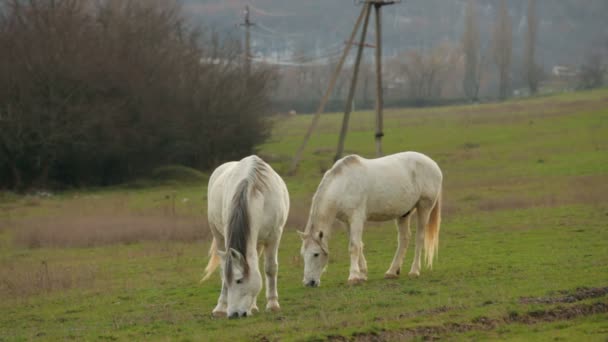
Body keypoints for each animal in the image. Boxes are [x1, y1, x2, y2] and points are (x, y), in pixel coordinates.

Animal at [201, 155, 288, 318]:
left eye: (239, 280)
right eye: (230, 281)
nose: (234, 314)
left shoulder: (274, 236)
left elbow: (270, 268)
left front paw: (273, 304)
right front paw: (221, 307)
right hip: (218, 235)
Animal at [300, 152, 442, 286]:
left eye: (316, 254)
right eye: (303, 254)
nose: (309, 283)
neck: (344, 184)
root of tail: (434, 165)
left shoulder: (356, 218)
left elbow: (354, 246)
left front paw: (353, 277)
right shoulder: (347, 222)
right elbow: (359, 245)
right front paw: (362, 274)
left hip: (424, 207)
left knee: (419, 238)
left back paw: (414, 271)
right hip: (403, 214)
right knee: (404, 239)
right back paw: (392, 272)